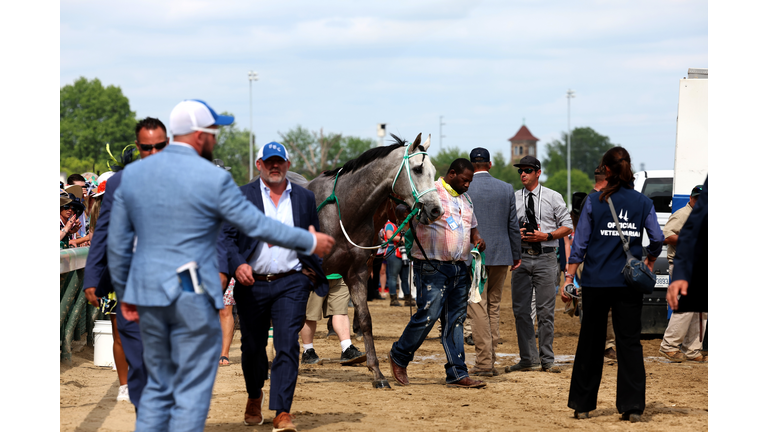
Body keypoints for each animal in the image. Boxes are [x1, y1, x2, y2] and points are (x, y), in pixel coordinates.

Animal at [290, 132, 444, 388]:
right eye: (418, 169)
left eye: (433, 170)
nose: (436, 210)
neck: (341, 212)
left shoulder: (357, 272)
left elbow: (365, 319)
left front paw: (377, 373)